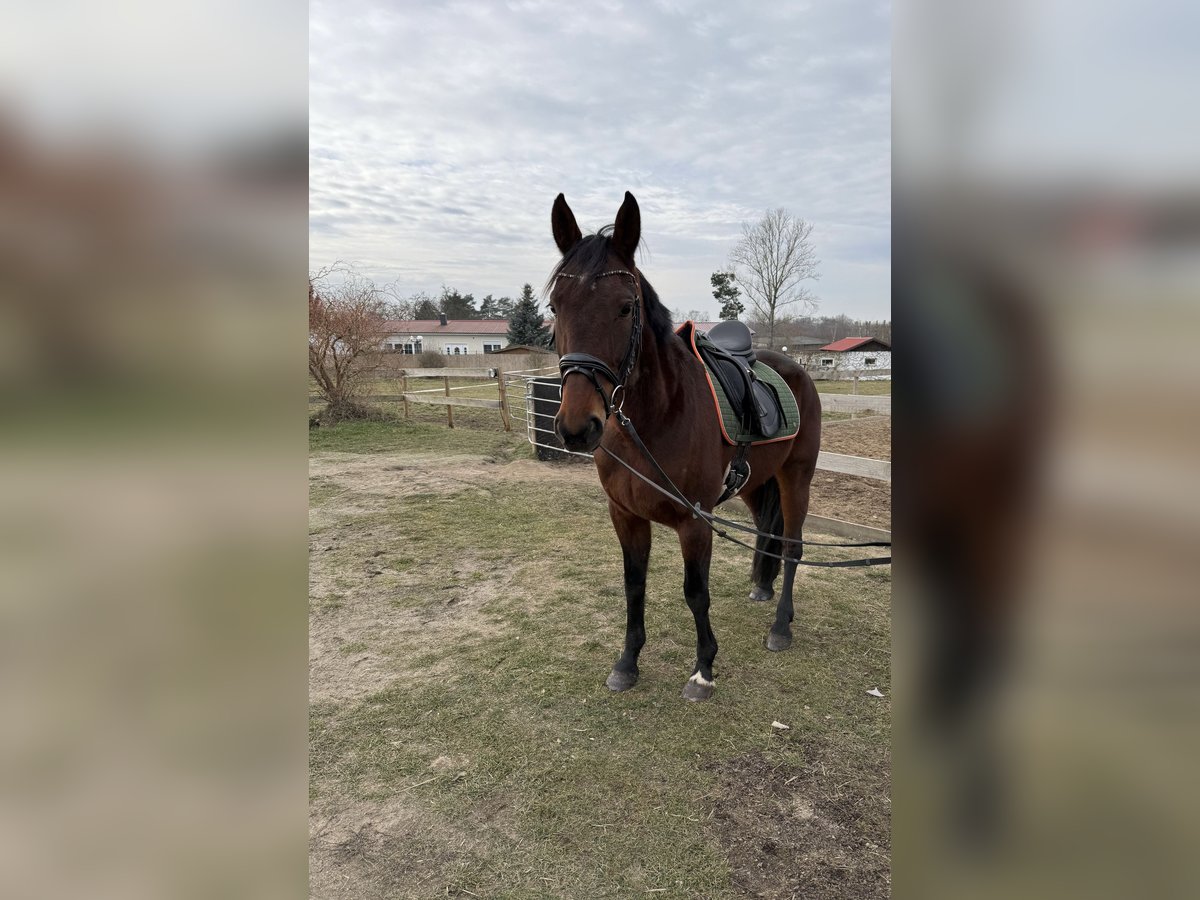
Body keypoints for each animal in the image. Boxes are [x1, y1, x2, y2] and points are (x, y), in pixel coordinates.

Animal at [547, 194, 820, 705]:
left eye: (626, 307)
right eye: (554, 306)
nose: (576, 428)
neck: (654, 419)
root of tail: (795, 367)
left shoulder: (695, 520)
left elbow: (696, 592)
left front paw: (703, 669)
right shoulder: (625, 516)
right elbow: (634, 586)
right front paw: (627, 663)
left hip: (797, 476)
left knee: (793, 545)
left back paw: (781, 626)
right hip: (755, 483)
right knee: (767, 529)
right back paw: (763, 588)